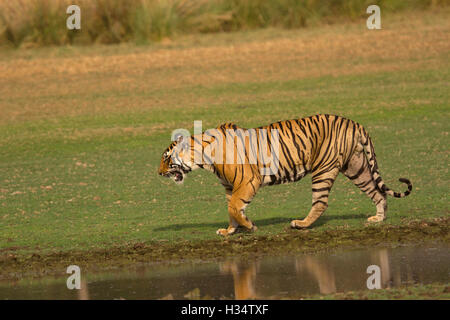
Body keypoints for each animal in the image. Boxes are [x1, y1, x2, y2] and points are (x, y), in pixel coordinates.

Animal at [157, 114, 412, 236]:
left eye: (166, 158)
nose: (158, 172)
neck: (204, 159)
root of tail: (354, 123)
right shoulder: (230, 187)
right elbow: (232, 210)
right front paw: (230, 231)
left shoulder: (248, 181)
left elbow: (235, 208)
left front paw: (249, 227)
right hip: (356, 167)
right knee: (377, 192)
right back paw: (378, 218)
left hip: (323, 169)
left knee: (321, 202)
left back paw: (300, 224)